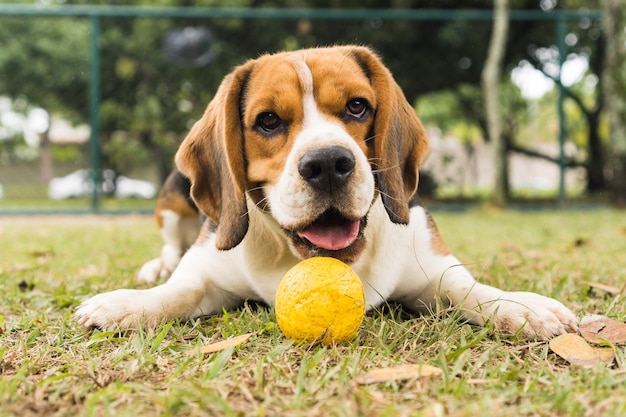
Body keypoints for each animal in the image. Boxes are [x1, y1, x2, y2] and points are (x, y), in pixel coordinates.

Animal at [77, 44, 576, 338]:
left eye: (357, 106)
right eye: (268, 121)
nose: (328, 164)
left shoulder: (429, 262)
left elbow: (466, 286)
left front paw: (521, 306)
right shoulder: (207, 269)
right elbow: (179, 290)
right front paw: (127, 304)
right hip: (173, 199)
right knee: (169, 246)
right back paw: (154, 268)